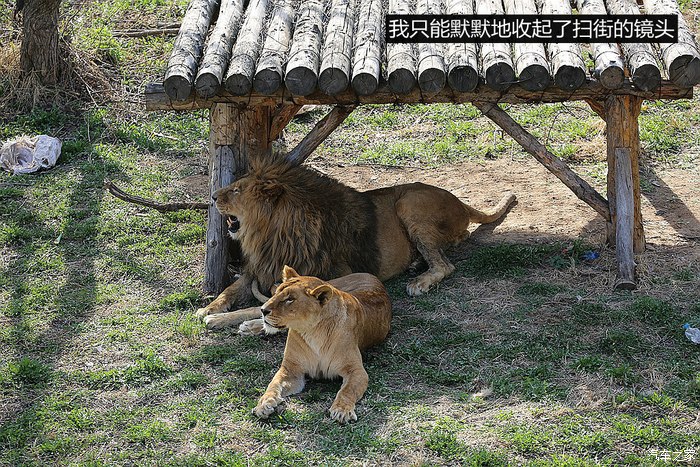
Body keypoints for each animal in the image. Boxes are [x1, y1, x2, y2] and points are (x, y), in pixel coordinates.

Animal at [196, 158, 515, 332]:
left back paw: (420, 281)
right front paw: (208, 308)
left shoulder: (324, 279)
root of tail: (461, 203)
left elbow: (260, 307)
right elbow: (230, 290)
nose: (213, 196)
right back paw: (415, 264)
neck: (269, 233)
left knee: (444, 264)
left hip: (409, 203)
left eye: (237, 190)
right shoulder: (260, 269)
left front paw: (223, 320)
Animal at [253, 266, 391, 423]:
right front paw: (264, 404)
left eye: (290, 299)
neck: (313, 331)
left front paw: (342, 410)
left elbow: (347, 391)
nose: (263, 310)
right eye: (277, 294)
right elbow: (273, 385)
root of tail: (371, 276)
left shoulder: (356, 371)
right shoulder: (291, 369)